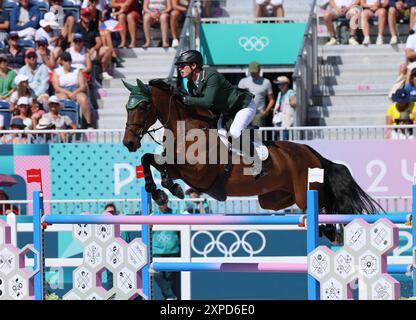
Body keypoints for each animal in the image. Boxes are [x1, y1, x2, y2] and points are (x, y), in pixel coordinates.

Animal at [122, 79, 382, 232]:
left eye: (143, 107)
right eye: (127, 107)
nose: (128, 143)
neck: (189, 128)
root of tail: (313, 154)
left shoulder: (198, 173)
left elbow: (163, 163)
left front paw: (169, 188)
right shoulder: (183, 169)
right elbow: (149, 159)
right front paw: (158, 190)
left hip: (307, 194)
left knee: (328, 212)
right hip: (273, 198)